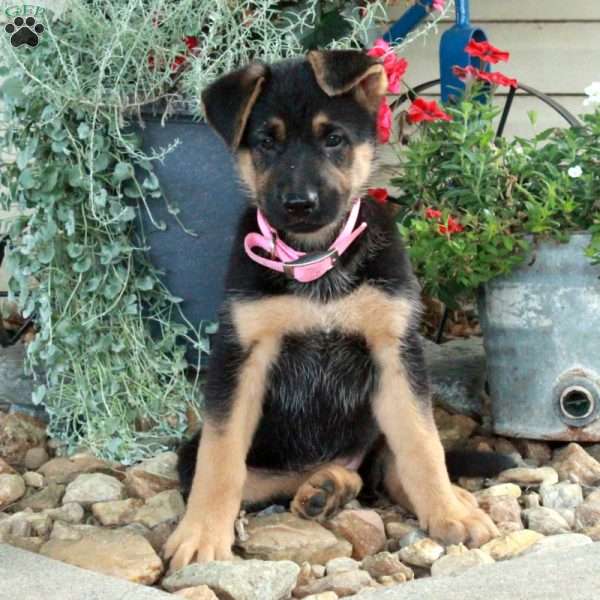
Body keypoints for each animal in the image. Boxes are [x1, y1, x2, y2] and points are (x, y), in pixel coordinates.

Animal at [165, 49, 516, 568]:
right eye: (266, 142)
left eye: (334, 139)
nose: (298, 204)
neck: (315, 261)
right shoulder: (240, 358)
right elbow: (221, 458)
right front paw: (202, 534)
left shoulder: (394, 351)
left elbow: (422, 444)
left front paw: (448, 512)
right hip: (204, 454)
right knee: (275, 475)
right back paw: (326, 487)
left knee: (388, 469)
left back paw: (443, 498)